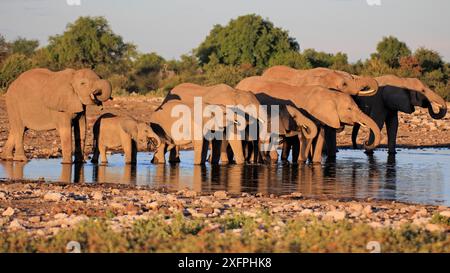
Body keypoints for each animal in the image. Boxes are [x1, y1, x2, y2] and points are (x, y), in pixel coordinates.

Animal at [236, 75, 380, 163]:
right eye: (349, 109)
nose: (364, 143)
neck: (330, 94)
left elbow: (320, 136)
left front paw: (315, 162)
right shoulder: (310, 113)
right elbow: (309, 135)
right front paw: (301, 161)